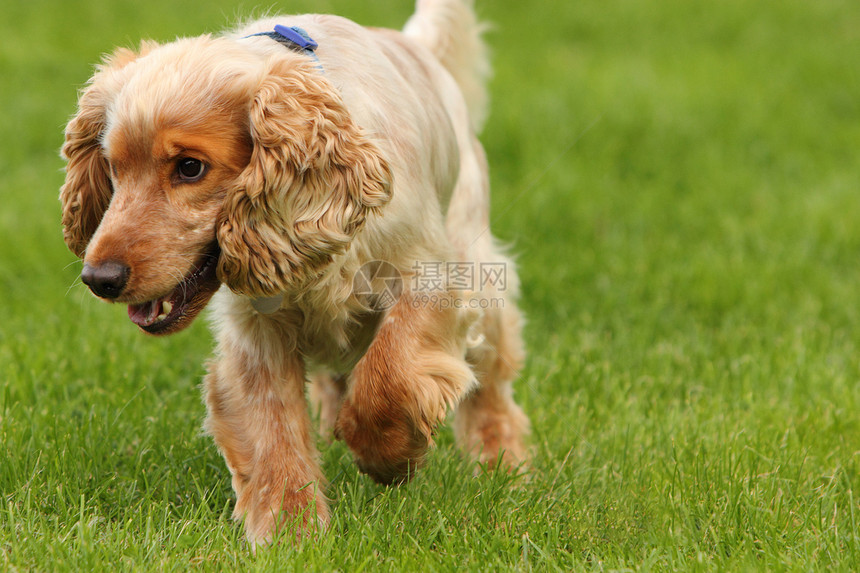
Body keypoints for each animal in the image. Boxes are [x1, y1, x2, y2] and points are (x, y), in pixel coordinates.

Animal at [60, 0, 528, 544]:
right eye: (113, 167)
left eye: (190, 167)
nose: (100, 278)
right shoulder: (257, 331)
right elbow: (273, 431)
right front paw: (290, 533)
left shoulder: (433, 278)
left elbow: (387, 376)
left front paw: (388, 456)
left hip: (480, 265)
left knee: (490, 386)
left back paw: (504, 466)